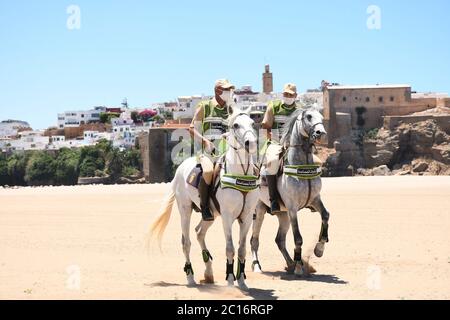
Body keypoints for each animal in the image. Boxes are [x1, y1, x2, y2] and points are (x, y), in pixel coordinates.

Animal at [149, 106, 258, 292]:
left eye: (252, 122)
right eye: (236, 125)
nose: (250, 143)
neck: (240, 173)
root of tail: (180, 168)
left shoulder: (247, 217)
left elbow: (242, 249)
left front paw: (242, 281)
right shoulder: (227, 217)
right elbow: (230, 248)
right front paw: (230, 281)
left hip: (210, 215)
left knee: (199, 233)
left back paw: (208, 273)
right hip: (185, 210)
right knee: (186, 242)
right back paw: (190, 277)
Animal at [250, 106, 330, 276]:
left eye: (321, 116)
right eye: (308, 116)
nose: (321, 133)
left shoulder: (315, 199)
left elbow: (326, 216)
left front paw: (319, 249)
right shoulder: (293, 208)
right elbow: (298, 237)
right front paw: (300, 267)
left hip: (283, 215)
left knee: (279, 240)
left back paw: (290, 263)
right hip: (259, 211)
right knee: (254, 240)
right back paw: (257, 266)